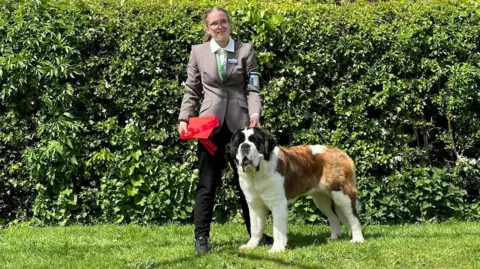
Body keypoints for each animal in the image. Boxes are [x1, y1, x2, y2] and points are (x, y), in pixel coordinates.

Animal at [228, 126, 364, 252]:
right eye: (239, 142)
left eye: (255, 141)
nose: (245, 146)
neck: (257, 175)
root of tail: (339, 152)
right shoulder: (254, 205)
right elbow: (255, 228)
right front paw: (250, 246)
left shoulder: (278, 204)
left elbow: (277, 229)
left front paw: (277, 249)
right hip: (321, 199)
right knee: (333, 217)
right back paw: (334, 238)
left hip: (342, 194)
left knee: (354, 217)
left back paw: (357, 239)